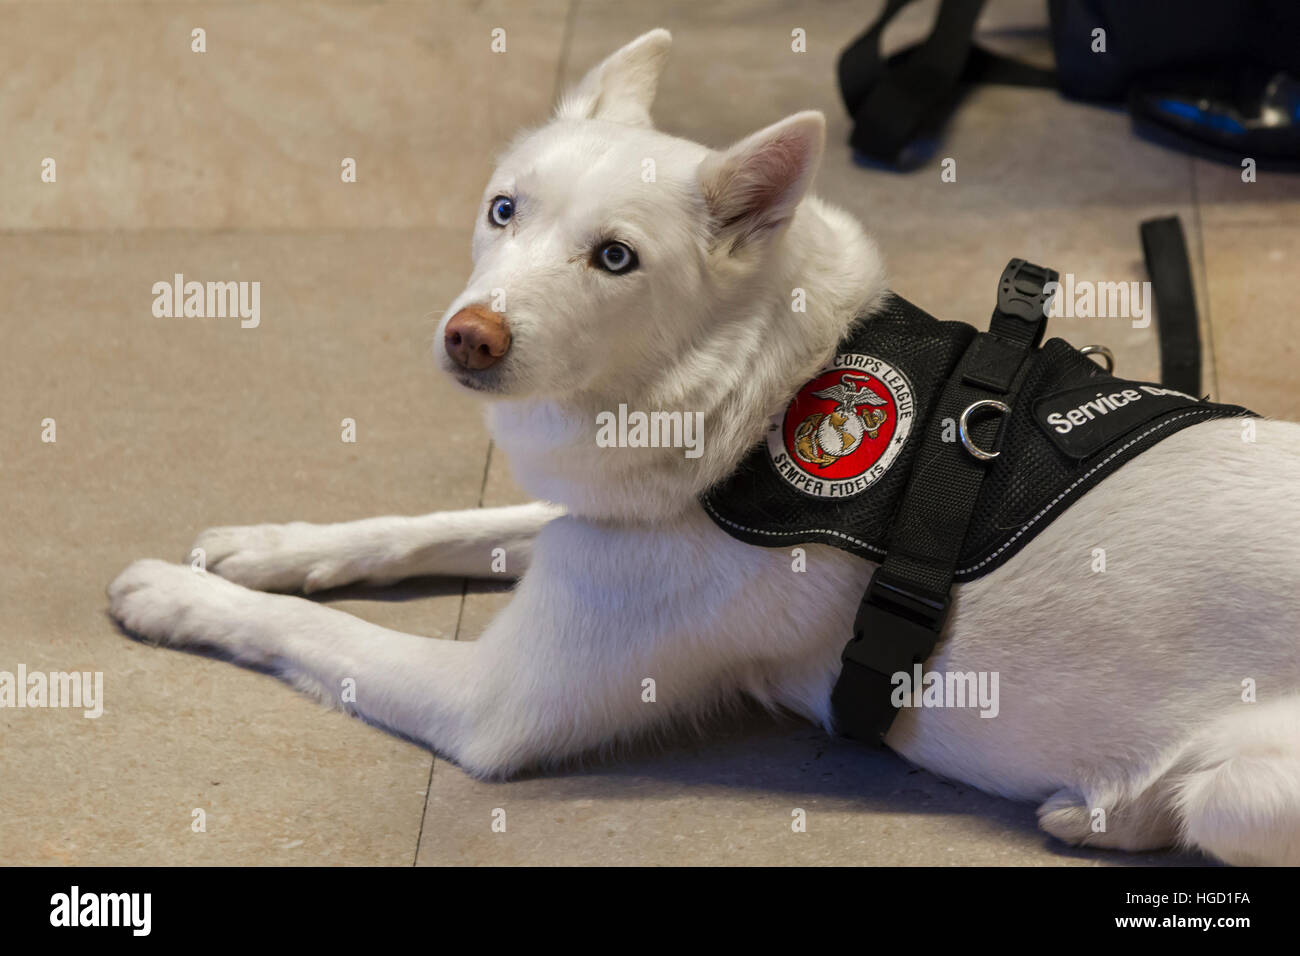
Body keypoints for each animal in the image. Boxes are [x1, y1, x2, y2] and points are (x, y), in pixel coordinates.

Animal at [109, 29, 1300, 868]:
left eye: (615, 258)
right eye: (502, 210)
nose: (470, 334)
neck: (759, 387)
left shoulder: (488, 701)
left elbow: (311, 633)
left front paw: (177, 595)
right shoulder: (599, 524)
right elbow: (442, 522)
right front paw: (270, 545)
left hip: (1246, 788)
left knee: (1202, 807)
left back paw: (1115, 808)